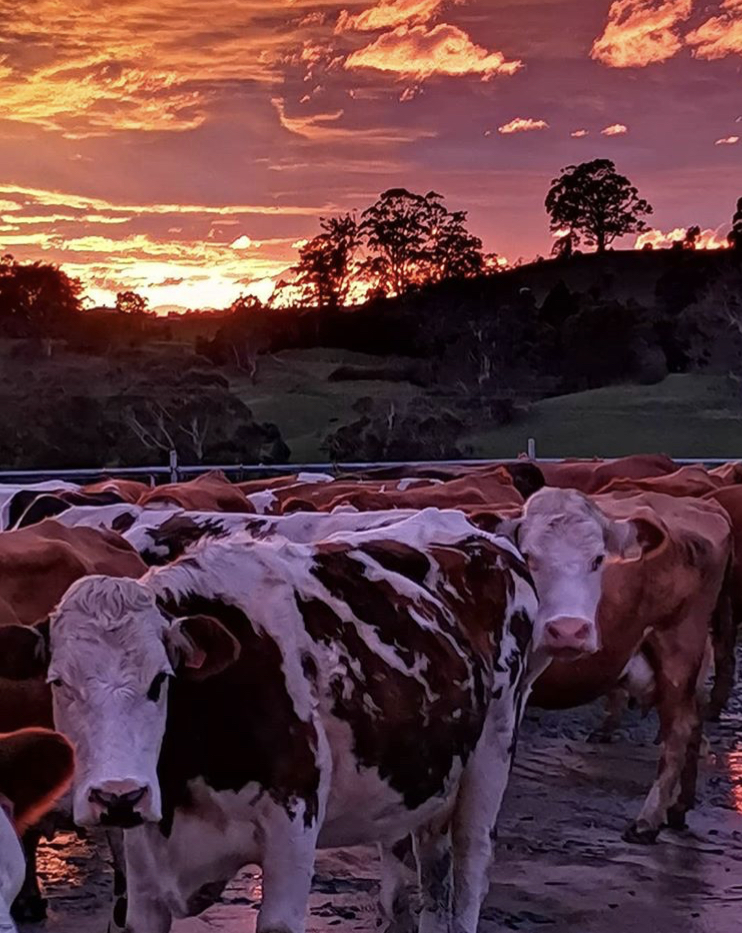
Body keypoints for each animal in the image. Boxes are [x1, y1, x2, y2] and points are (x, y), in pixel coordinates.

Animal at [0, 510, 548, 932]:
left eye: (161, 680)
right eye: (58, 683)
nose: (118, 796)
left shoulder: (293, 827)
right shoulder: (144, 868)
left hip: (491, 754)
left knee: (471, 864)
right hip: (428, 781)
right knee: (428, 877)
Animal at [502, 484, 736, 840]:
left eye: (599, 559)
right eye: (527, 557)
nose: (567, 629)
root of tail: (703, 507)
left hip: (679, 646)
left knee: (680, 728)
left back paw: (647, 820)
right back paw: (678, 809)